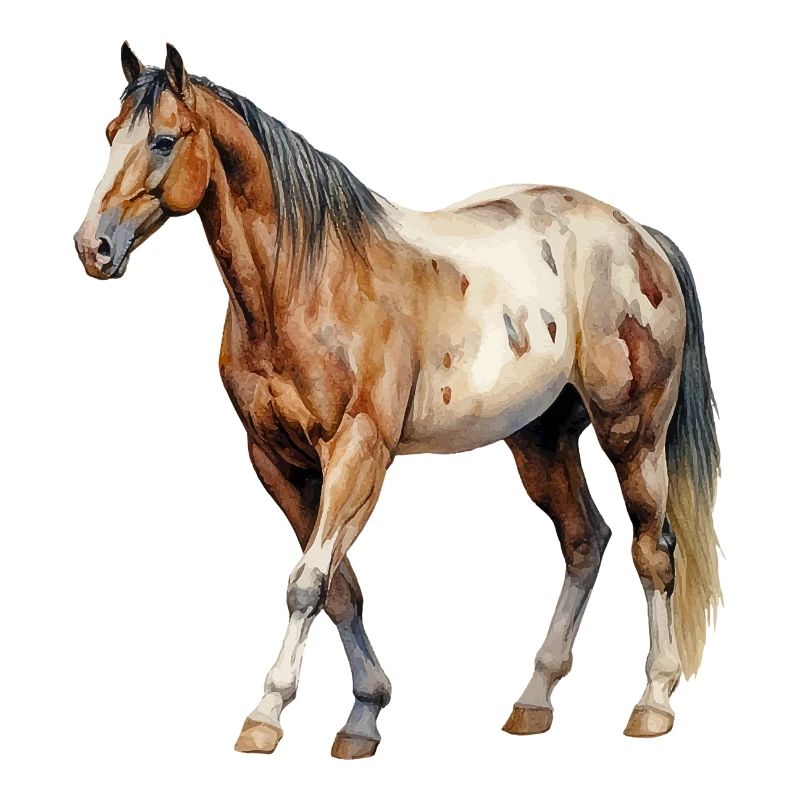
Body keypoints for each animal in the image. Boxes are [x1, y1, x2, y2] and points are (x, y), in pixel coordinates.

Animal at [74, 43, 721, 758]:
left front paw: (266, 715)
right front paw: (363, 715)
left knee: (651, 550)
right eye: (110, 133)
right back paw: (533, 700)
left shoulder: (358, 452)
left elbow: (307, 584)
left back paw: (652, 703)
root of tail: (639, 236)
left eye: (163, 140)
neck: (307, 279)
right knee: (585, 541)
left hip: (633, 433)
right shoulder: (278, 463)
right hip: (541, 441)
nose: (93, 247)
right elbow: (339, 589)